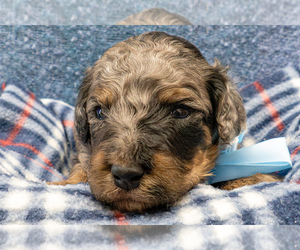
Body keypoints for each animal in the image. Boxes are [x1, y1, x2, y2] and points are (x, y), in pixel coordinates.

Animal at [48, 30, 280, 211]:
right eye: (99, 112)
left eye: (181, 111)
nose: (125, 175)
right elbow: (82, 168)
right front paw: (65, 182)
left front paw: (251, 179)